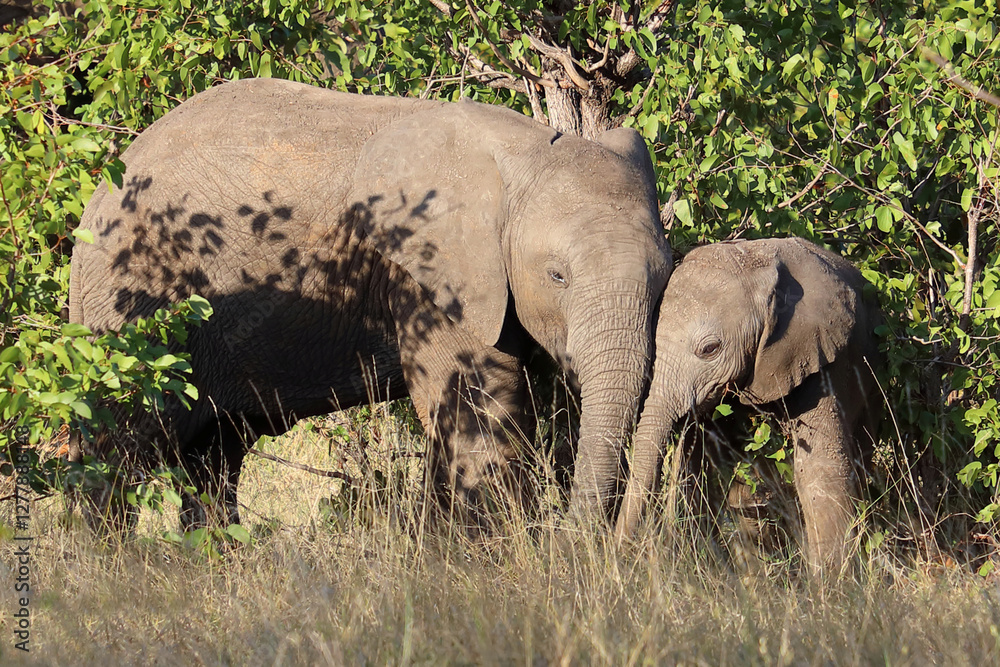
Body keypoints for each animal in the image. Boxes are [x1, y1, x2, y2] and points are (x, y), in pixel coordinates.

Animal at [68, 77, 672, 531]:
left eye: (664, 275)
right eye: (557, 276)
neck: (525, 150)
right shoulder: (426, 270)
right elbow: (480, 406)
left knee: (215, 456)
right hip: (131, 303)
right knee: (116, 447)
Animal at [614, 237, 882, 574]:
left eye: (709, 349)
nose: (623, 560)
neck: (755, 265)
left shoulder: (822, 350)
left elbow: (819, 467)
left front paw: (831, 582)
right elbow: (698, 465)